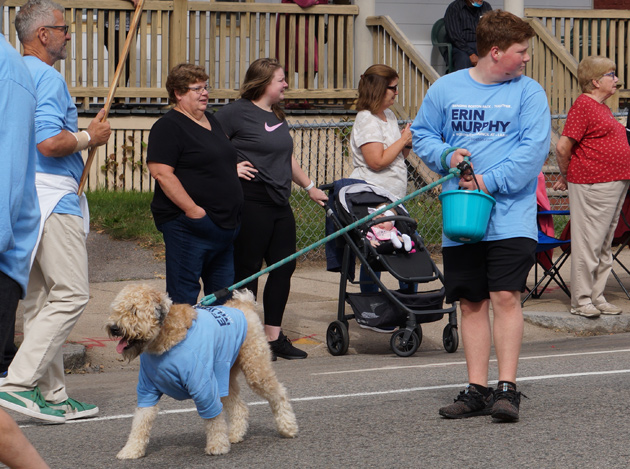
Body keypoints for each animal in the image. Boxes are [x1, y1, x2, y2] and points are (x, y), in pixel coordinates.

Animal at [106, 284, 298, 458]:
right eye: (116, 309)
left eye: (134, 310)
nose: (114, 328)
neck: (164, 342)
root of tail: (243, 303)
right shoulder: (147, 390)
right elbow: (140, 422)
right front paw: (132, 450)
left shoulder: (203, 386)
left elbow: (213, 417)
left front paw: (218, 446)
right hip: (224, 377)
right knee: (240, 407)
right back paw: (234, 435)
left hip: (255, 370)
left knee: (279, 394)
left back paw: (288, 427)